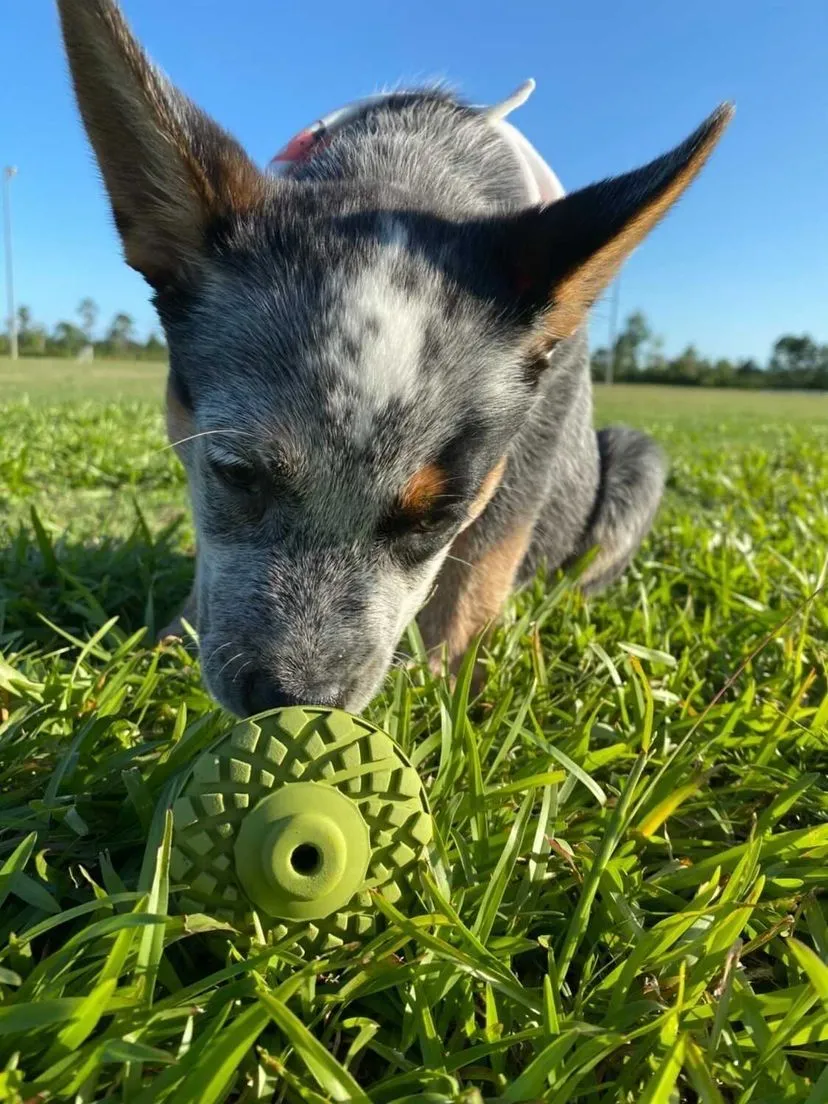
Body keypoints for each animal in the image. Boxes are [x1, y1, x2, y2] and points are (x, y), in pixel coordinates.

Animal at [56, 0, 733, 715]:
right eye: (236, 474)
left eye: (439, 517)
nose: (299, 699)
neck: (412, 165)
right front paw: (168, 644)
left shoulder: (537, 430)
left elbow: (478, 573)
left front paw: (449, 693)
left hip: (636, 460)